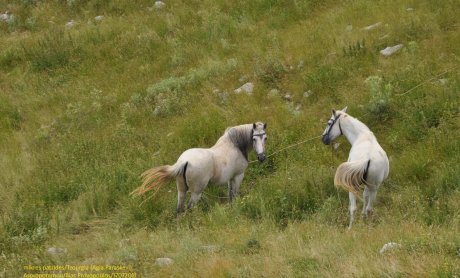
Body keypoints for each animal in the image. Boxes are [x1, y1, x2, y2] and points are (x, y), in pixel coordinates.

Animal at [130, 121, 266, 213]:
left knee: (179, 209)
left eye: (265, 138)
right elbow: (234, 195)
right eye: (254, 138)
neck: (235, 145)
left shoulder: (230, 178)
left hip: (181, 190)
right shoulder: (238, 176)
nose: (262, 157)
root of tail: (184, 161)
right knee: (189, 208)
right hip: (196, 192)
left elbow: (230, 195)